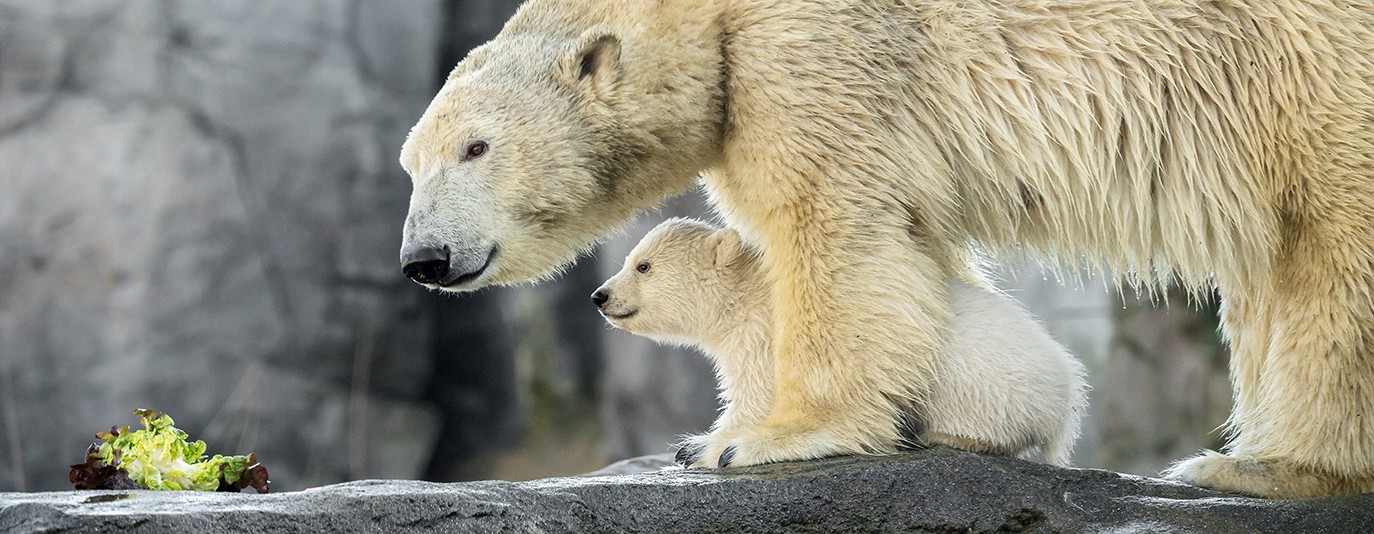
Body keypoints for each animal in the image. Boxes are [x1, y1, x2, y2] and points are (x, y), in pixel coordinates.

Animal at [398, 1, 1374, 499]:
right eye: (411, 161)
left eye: (476, 147)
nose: (424, 259)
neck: (707, 13)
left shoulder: (813, 52)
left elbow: (836, 220)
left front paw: (757, 440)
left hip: (1309, 63)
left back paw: (1269, 463)